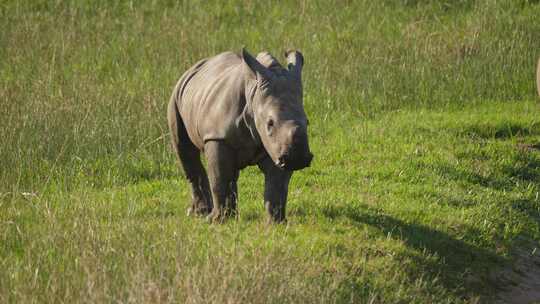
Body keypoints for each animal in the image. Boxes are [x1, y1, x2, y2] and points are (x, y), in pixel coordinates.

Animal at [168, 48, 312, 223]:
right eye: (270, 123)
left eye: (307, 122)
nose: (298, 159)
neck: (254, 96)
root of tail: (194, 67)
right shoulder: (218, 136)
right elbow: (220, 177)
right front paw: (218, 221)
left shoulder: (278, 146)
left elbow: (277, 185)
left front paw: (276, 222)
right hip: (176, 94)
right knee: (184, 148)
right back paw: (200, 213)